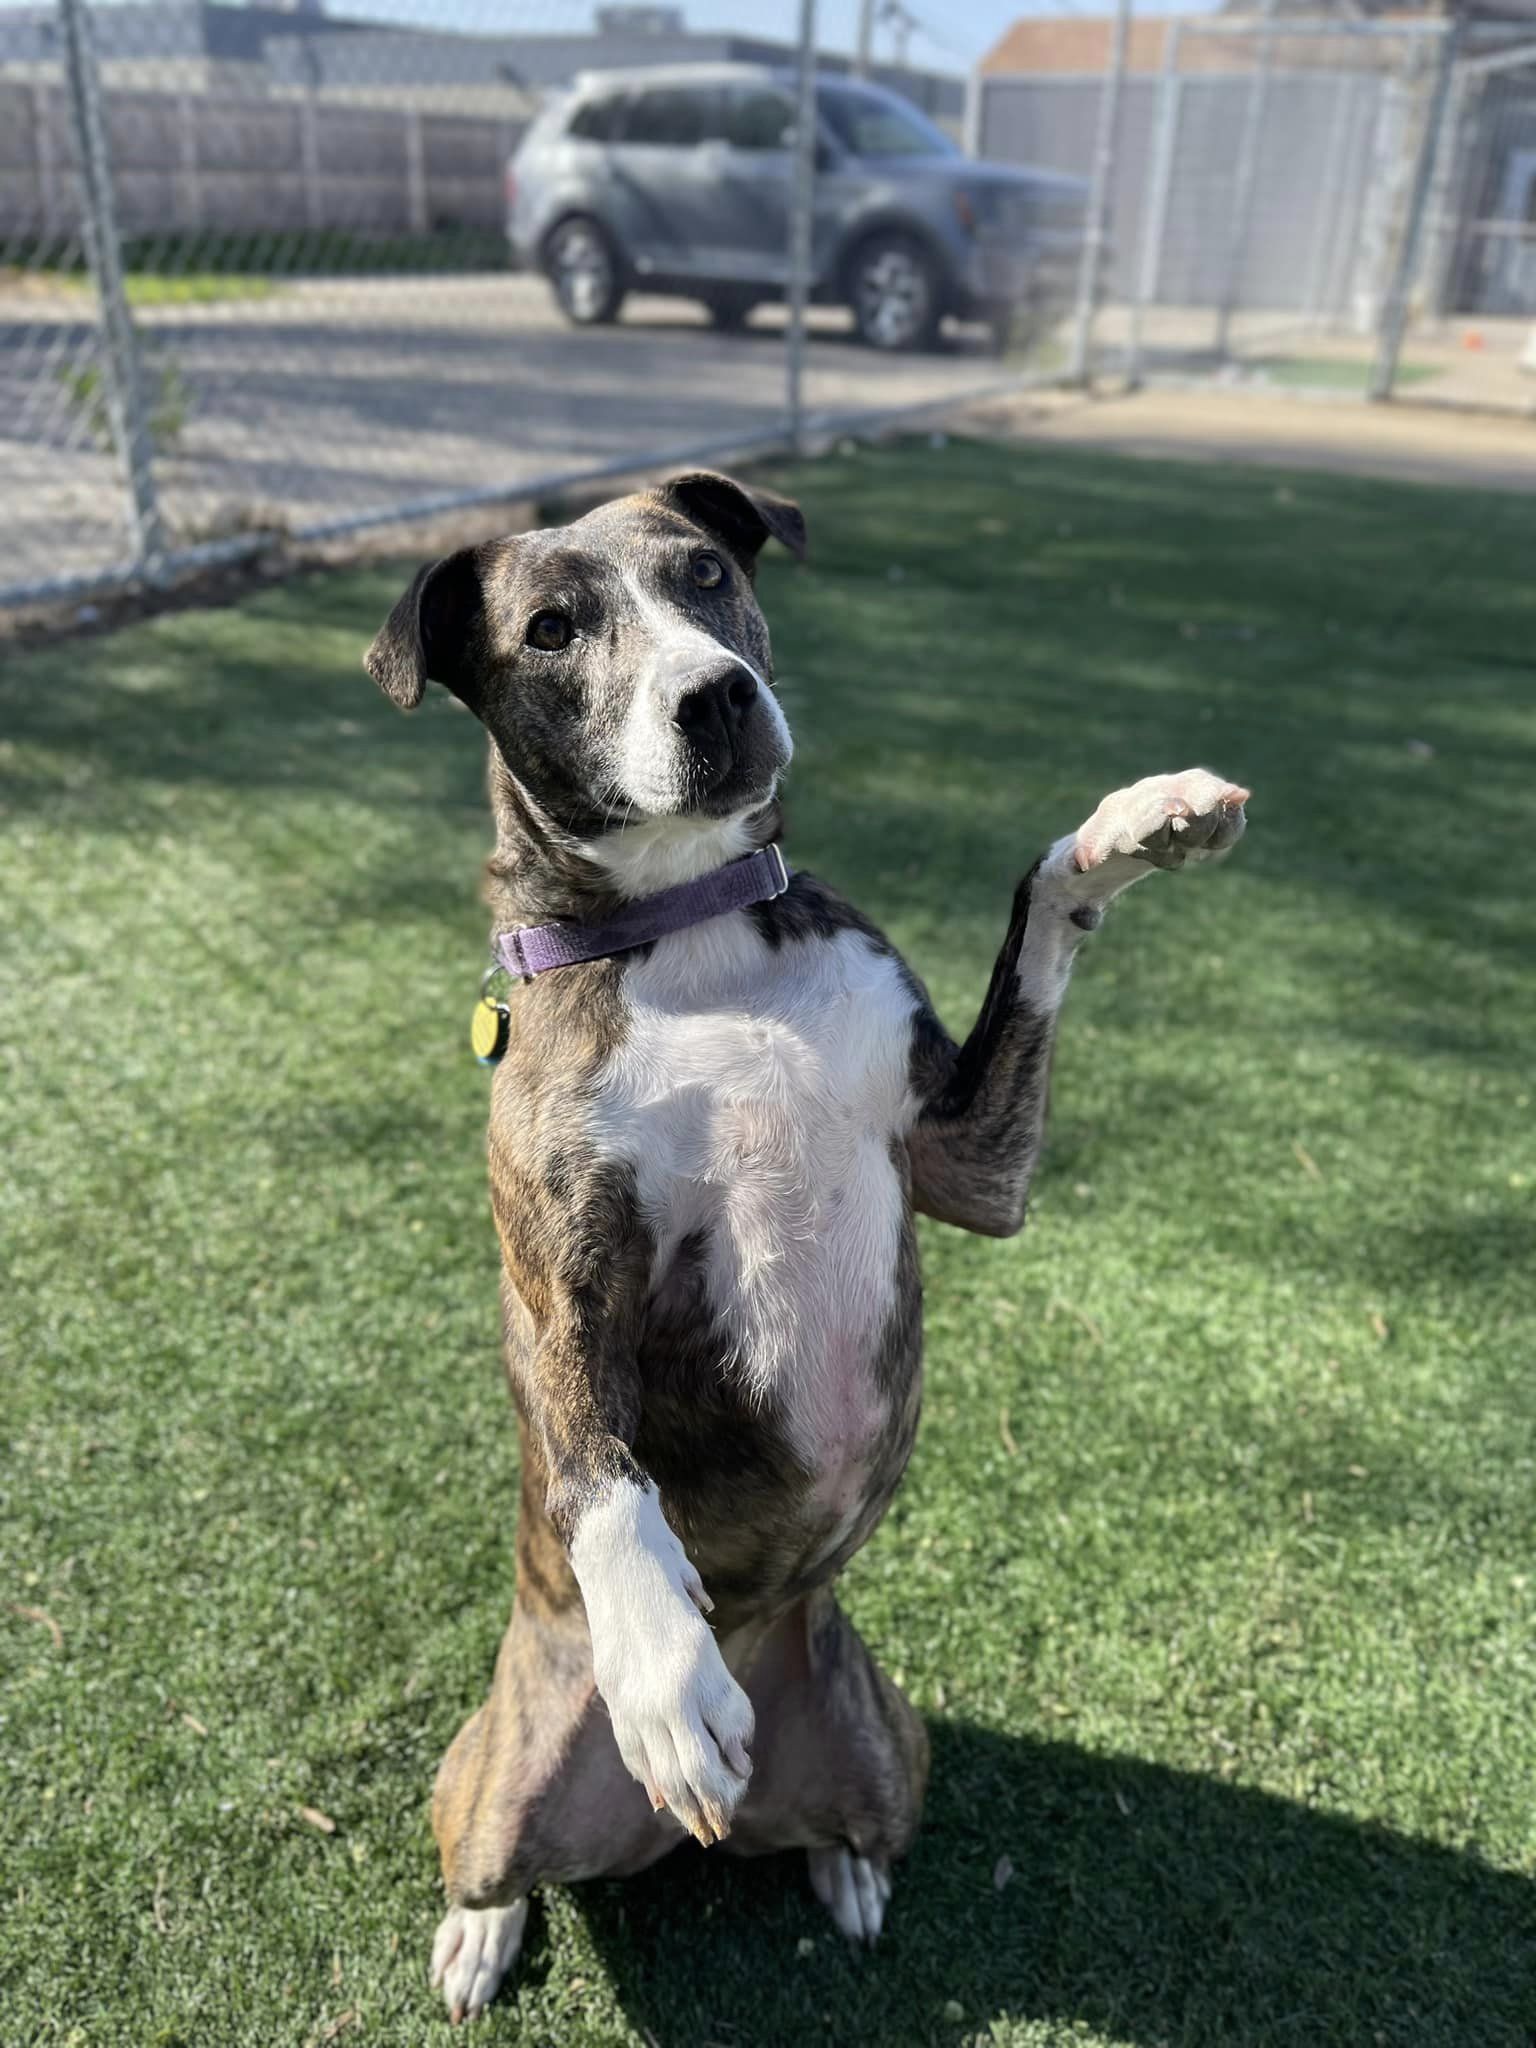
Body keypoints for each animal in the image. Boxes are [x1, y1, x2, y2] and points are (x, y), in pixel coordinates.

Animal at [366, 471, 1253, 2023]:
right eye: (552, 630)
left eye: (706, 575)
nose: (715, 696)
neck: (694, 932)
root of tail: (677, 1843)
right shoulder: (557, 1279)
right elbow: (601, 1472)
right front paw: (667, 1675)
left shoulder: (969, 1162)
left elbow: (1038, 911)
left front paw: (1133, 828)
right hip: (485, 1780)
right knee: (492, 1865)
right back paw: (486, 1928)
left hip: (890, 1737)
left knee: (850, 1820)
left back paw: (843, 1870)